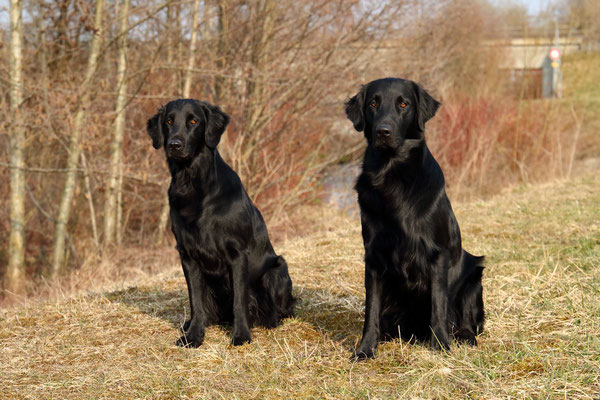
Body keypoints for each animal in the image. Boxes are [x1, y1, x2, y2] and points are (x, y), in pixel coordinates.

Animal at [146, 98, 294, 346]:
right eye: (168, 121)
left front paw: (241, 335)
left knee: (282, 308)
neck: (192, 183)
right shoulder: (187, 255)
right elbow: (195, 301)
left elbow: (239, 301)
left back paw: (271, 320)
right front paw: (193, 336)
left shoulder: (238, 253)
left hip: (276, 269)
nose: (174, 144)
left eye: (193, 121)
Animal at [344, 78, 486, 360]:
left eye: (403, 104)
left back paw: (464, 337)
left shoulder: (438, 255)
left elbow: (438, 305)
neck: (392, 176)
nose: (383, 131)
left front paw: (440, 344)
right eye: (373, 103)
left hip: (474, 275)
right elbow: (371, 309)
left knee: (466, 321)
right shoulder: (373, 256)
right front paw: (365, 349)